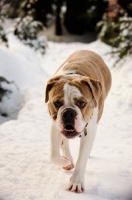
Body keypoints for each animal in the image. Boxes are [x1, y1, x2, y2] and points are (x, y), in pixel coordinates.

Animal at [44, 49, 112, 192]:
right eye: (57, 103)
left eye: (81, 103)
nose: (68, 112)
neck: (72, 76)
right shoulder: (54, 125)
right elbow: (53, 155)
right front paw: (66, 162)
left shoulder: (90, 130)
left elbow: (82, 158)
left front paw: (76, 182)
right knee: (63, 142)